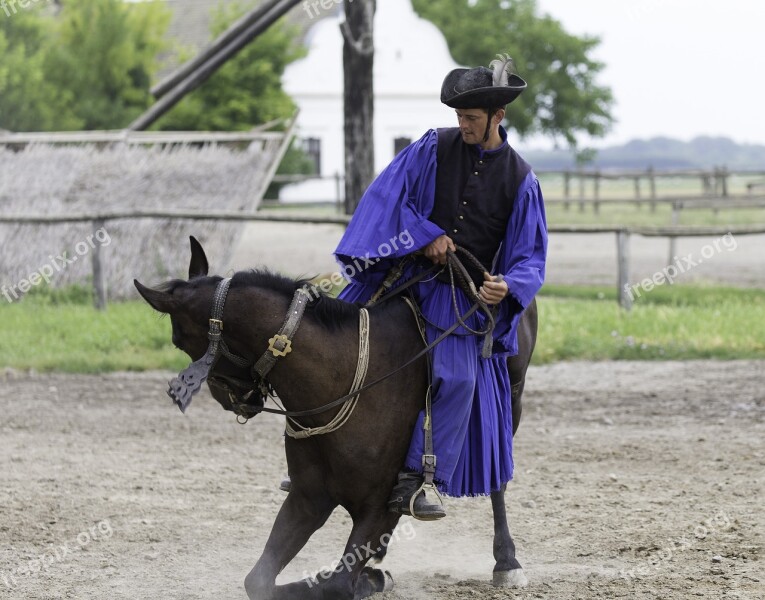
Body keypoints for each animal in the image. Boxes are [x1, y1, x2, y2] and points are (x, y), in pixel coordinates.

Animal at [133, 239, 536, 600]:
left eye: (180, 339)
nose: (230, 401)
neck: (335, 377)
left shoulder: (377, 508)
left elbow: (337, 583)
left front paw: (370, 579)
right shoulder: (308, 498)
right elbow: (258, 581)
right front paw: (369, 574)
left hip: (511, 402)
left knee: (499, 479)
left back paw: (507, 562)